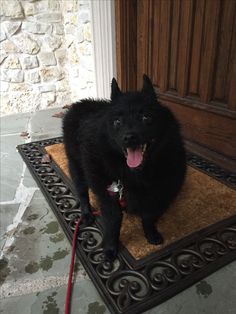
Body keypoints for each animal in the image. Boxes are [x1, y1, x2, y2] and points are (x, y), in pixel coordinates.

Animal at [62, 75, 186, 260]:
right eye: (117, 122)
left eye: (146, 118)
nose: (129, 137)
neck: (136, 174)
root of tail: (81, 104)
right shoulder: (108, 196)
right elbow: (113, 221)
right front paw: (110, 247)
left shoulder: (157, 193)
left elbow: (149, 216)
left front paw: (150, 234)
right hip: (76, 166)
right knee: (82, 192)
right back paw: (86, 213)